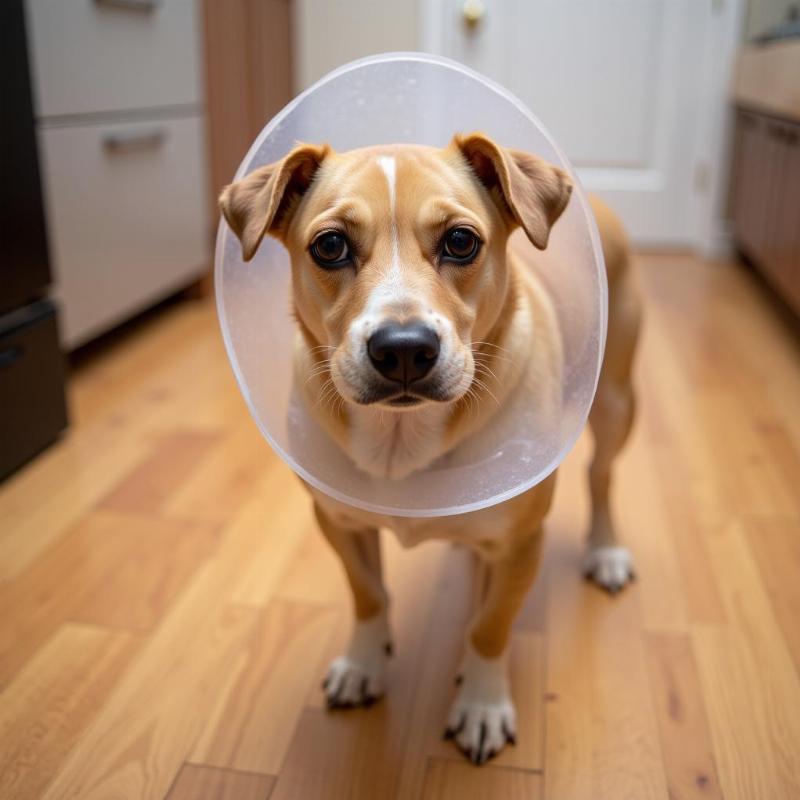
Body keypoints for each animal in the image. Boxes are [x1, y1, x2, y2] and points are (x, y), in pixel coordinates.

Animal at [220, 134, 644, 764]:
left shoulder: (522, 543)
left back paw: (606, 549)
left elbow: (491, 626)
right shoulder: (338, 522)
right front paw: (365, 663)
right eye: (330, 246)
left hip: (616, 403)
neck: (402, 437)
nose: (402, 348)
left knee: (602, 476)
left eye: (461, 241)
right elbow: (369, 593)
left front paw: (483, 704)